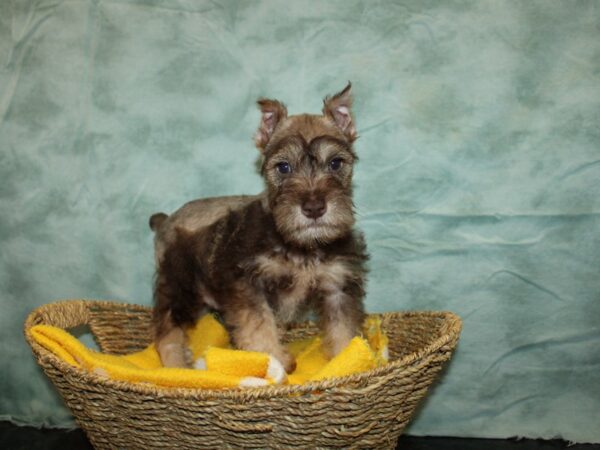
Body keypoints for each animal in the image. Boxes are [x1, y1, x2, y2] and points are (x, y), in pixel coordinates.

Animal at [148, 83, 368, 372]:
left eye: (335, 163)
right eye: (283, 167)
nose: (314, 208)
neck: (300, 246)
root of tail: (165, 220)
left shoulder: (337, 287)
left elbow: (343, 329)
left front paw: (347, 361)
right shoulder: (248, 285)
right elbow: (259, 326)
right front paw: (273, 362)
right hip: (178, 284)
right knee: (167, 328)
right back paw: (177, 365)